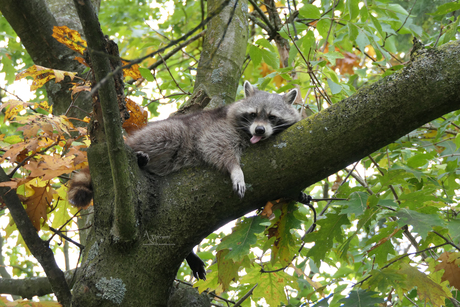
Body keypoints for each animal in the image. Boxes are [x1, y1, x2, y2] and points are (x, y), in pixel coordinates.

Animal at [66, 80, 300, 208]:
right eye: (252, 115)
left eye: (272, 117)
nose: (259, 130)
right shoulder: (218, 127)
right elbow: (214, 146)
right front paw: (236, 169)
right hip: (164, 132)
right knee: (170, 134)